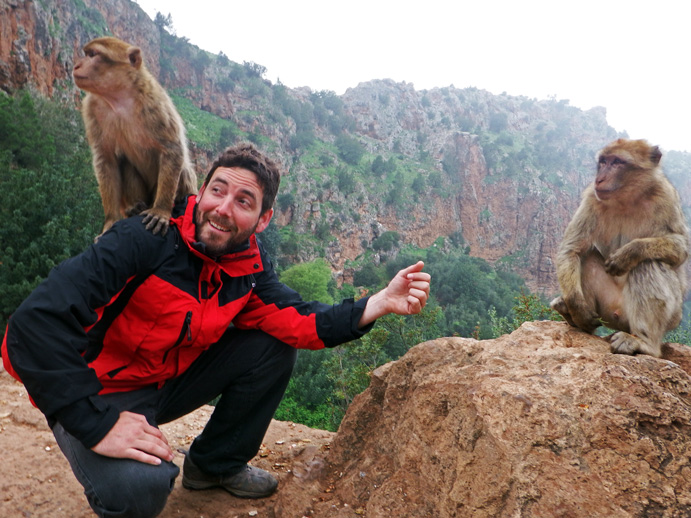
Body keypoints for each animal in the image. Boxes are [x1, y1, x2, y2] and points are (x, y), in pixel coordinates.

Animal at [73, 35, 197, 239]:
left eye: (93, 55)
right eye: (86, 54)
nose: (76, 65)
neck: (118, 98)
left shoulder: (155, 102)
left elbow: (172, 149)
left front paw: (161, 210)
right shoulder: (91, 109)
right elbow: (106, 159)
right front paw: (110, 221)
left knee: (183, 169)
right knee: (124, 162)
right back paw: (134, 207)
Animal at [552, 138, 691, 358]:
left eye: (617, 162)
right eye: (603, 161)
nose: (599, 179)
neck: (627, 198)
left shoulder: (665, 195)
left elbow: (681, 246)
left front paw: (630, 252)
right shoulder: (592, 198)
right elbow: (572, 250)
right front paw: (577, 307)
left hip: (672, 316)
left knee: (647, 265)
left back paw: (645, 343)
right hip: (607, 309)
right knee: (587, 258)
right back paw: (575, 318)